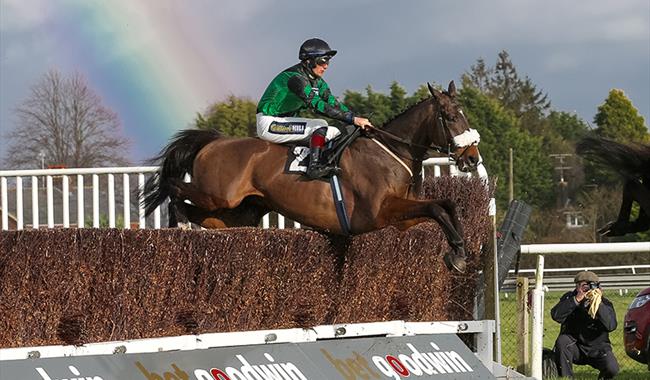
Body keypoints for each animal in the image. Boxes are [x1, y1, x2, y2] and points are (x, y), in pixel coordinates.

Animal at [144, 81, 484, 272]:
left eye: (465, 113)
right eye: (449, 116)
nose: (472, 157)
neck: (391, 151)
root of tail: (214, 140)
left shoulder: (401, 217)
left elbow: (447, 205)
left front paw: (461, 250)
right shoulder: (380, 211)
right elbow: (437, 207)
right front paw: (457, 253)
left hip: (240, 212)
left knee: (203, 214)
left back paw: (181, 227)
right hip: (218, 194)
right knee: (175, 187)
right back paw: (177, 223)